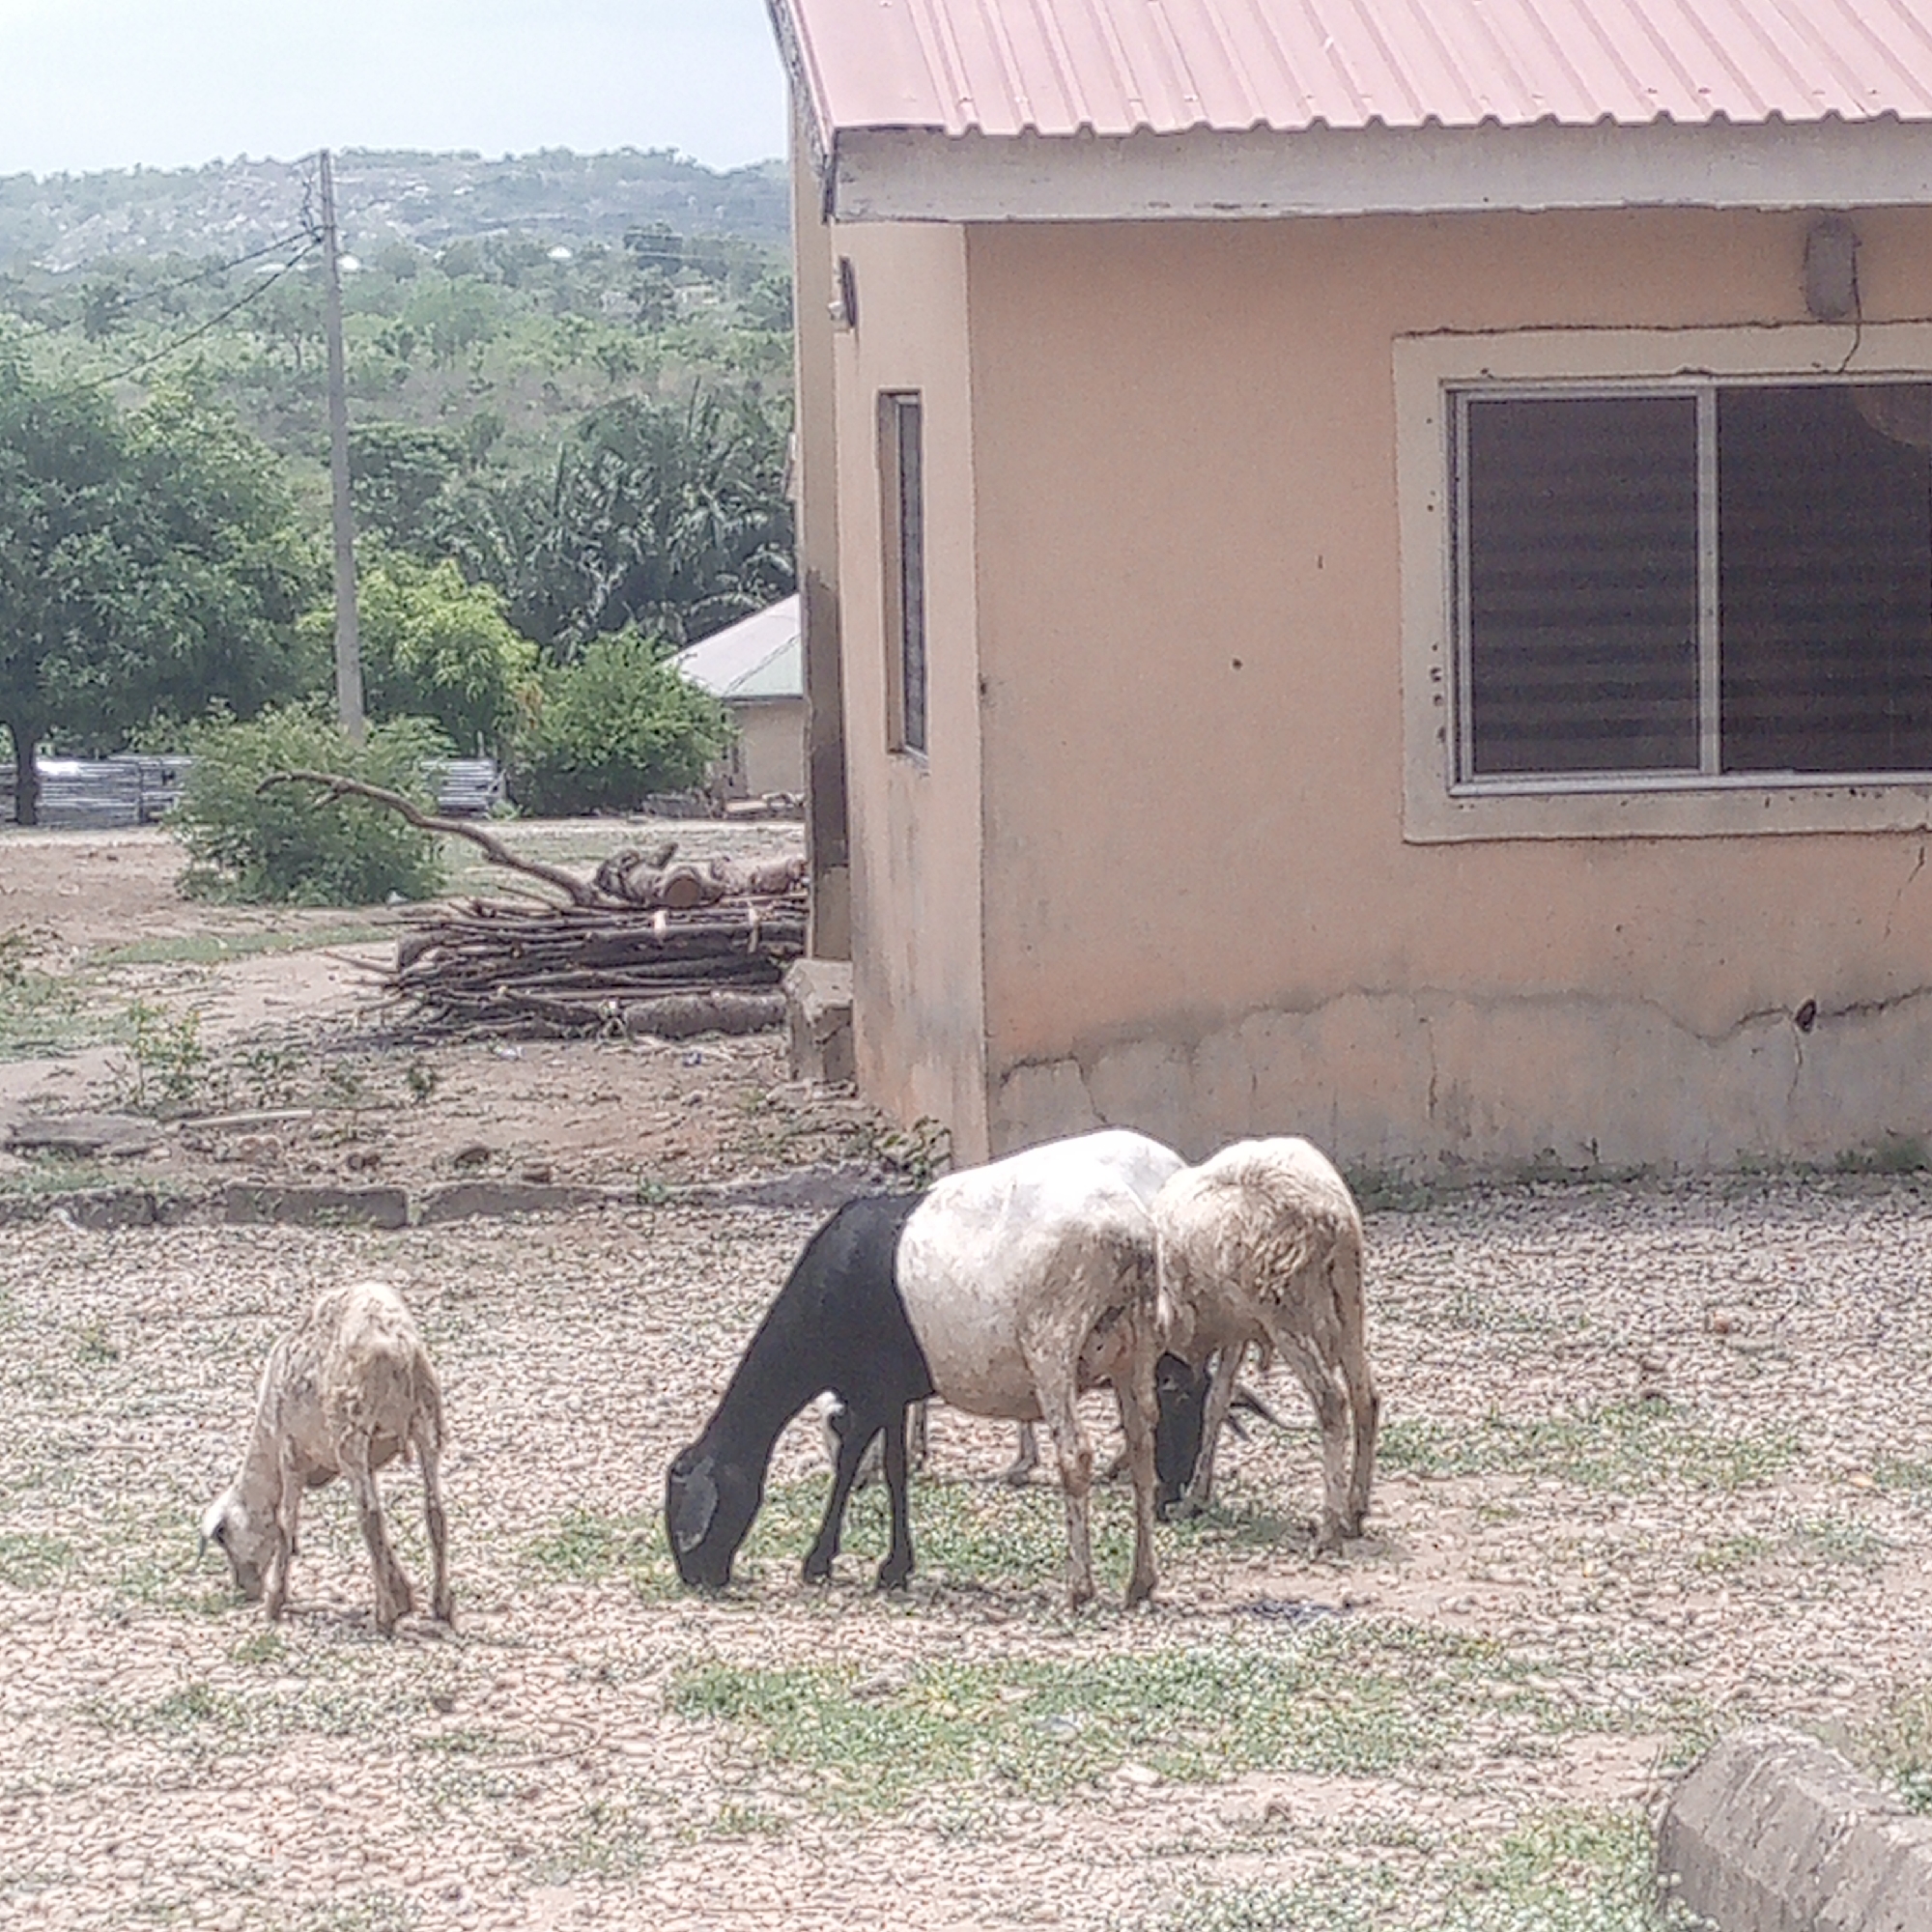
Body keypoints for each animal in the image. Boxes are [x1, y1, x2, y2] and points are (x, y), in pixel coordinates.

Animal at [200, 1279, 452, 1634]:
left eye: (223, 1538)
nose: (244, 1589)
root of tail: (397, 1346)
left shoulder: (290, 1452)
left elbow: (285, 1523)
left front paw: (275, 1602)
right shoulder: (367, 1463)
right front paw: (403, 1595)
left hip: (352, 1429)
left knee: (370, 1518)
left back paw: (384, 1616)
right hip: (427, 1419)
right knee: (434, 1513)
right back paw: (441, 1605)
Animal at [667, 1127, 1186, 1607]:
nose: (697, 1577)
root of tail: (1133, 1238)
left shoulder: (875, 1385)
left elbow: (870, 1462)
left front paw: (840, 1563)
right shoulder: (889, 1389)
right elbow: (887, 1463)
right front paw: (884, 1564)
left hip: (1053, 1342)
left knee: (1076, 1456)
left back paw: (1079, 1586)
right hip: (1136, 1346)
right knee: (1143, 1446)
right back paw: (1141, 1581)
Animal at [1153, 1137, 1380, 1553]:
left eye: (1168, 1414)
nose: (1164, 1500)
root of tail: (1334, 1218)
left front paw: (1191, 1498)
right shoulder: (1237, 1327)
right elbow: (1216, 1401)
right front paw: (1197, 1498)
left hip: (1286, 1313)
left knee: (1331, 1401)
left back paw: (1329, 1526)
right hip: (1350, 1302)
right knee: (1365, 1397)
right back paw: (1355, 1510)